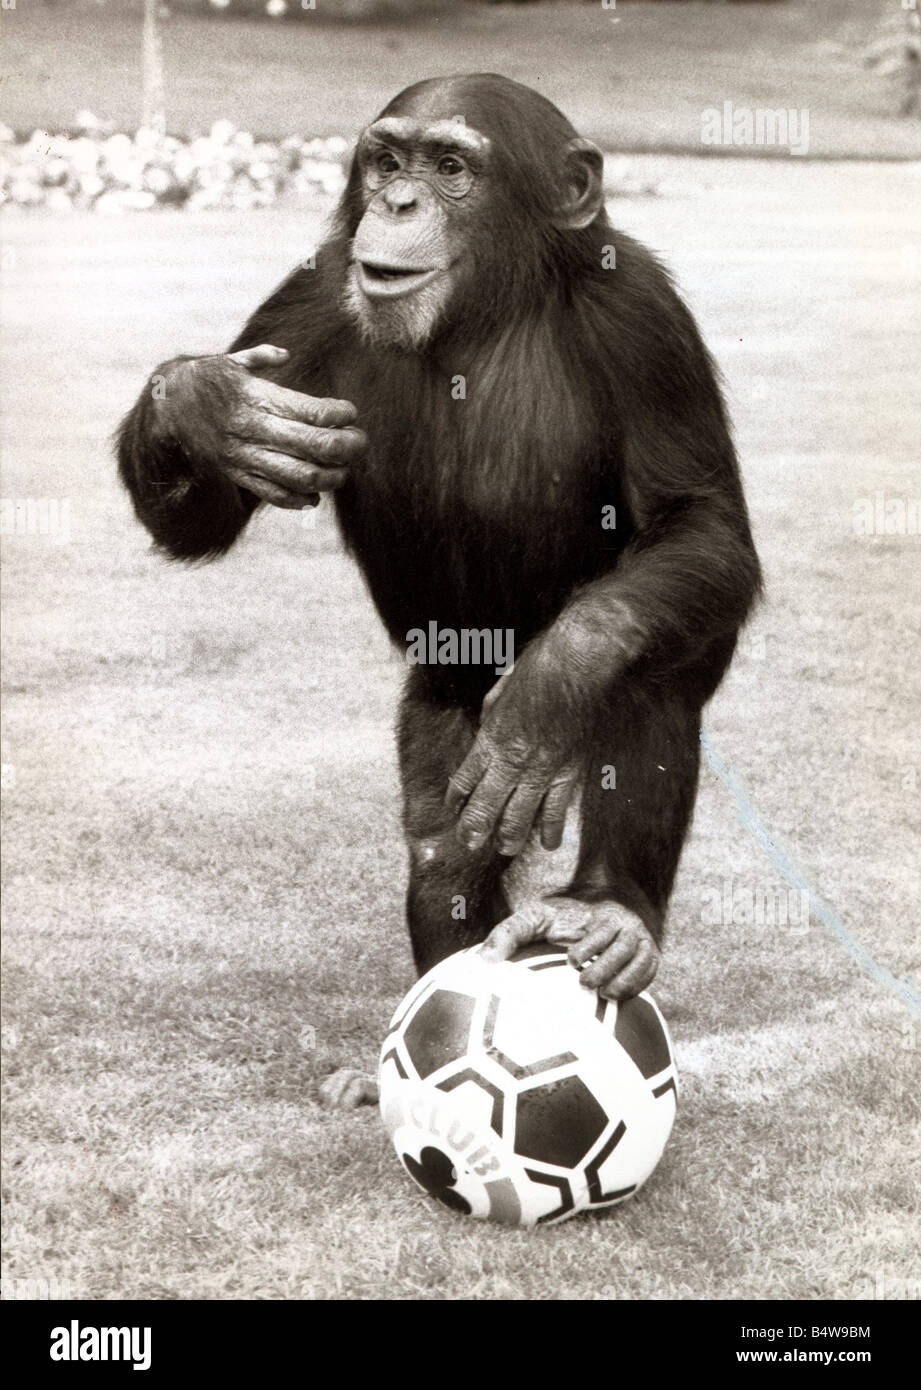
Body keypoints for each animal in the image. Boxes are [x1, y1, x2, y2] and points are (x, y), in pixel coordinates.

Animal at [117, 76, 761, 1112]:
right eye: (387, 159)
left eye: (452, 166)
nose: (400, 201)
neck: (483, 315)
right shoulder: (309, 297)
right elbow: (202, 518)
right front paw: (205, 405)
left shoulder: (643, 316)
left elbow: (698, 521)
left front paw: (552, 682)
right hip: (441, 708)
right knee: (441, 854)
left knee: (649, 666)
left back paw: (607, 913)